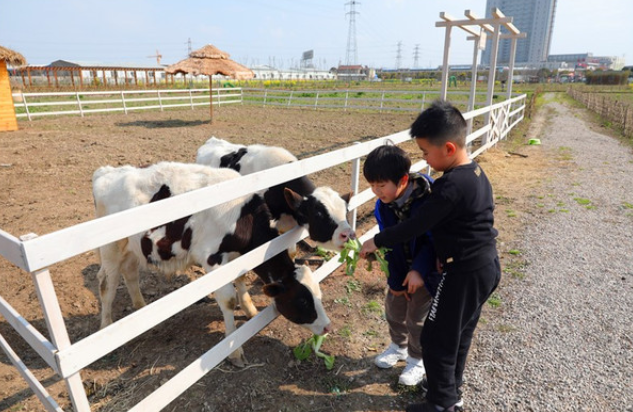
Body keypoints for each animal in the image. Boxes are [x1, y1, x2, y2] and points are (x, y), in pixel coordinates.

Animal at [94, 163, 330, 366]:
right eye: (302, 300)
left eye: (318, 293)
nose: (327, 326)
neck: (242, 218)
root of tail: (105, 172)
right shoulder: (212, 259)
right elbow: (228, 300)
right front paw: (234, 350)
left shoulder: (235, 257)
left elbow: (240, 278)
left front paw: (250, 309)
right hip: (111, 248)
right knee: (107, 285)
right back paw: (106, 328)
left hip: (133, 247)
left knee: (130, 272)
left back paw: (140, 309)